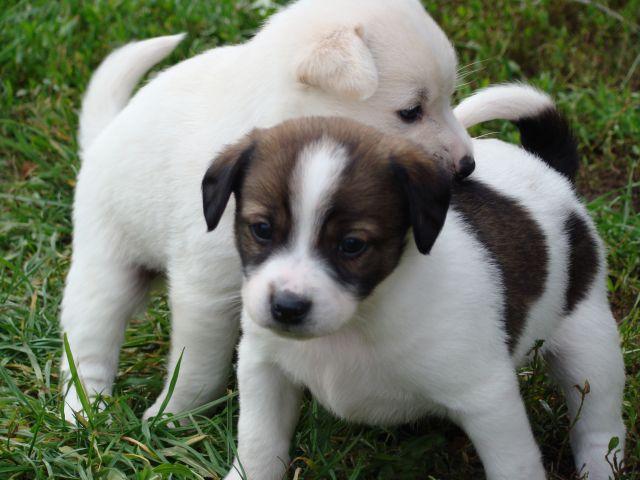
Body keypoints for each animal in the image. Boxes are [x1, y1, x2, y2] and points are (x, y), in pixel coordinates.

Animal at [61, 0, 556, 420]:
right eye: (411, 111)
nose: (467, 166)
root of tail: (103, 135)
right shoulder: (204, 289)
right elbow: (198, 364)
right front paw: (175, 416)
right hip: (107, 266)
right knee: (87, 343)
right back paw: (86, 410)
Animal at [205, 117, 624, 480]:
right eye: (261, 229)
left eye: (352, 245)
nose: (287, 308)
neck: (358, 319)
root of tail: (550, 171)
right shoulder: (264, 366)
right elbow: (259, 443)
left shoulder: (487, 397)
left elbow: (514, 466)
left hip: (588, 343)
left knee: (600, 423)